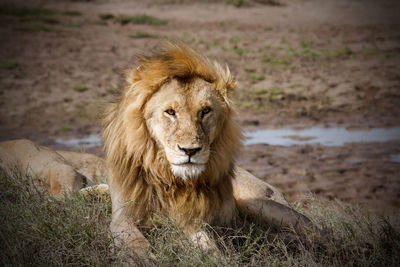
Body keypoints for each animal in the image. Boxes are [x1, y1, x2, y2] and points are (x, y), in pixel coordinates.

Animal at [102, 42, 310, 255]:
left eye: (205, 111)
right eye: (170, 112)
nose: (190, 150)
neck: (170, 181)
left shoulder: (192, 221)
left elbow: (207, 244)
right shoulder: (122, 218)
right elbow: (136, 244)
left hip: (259, 203)